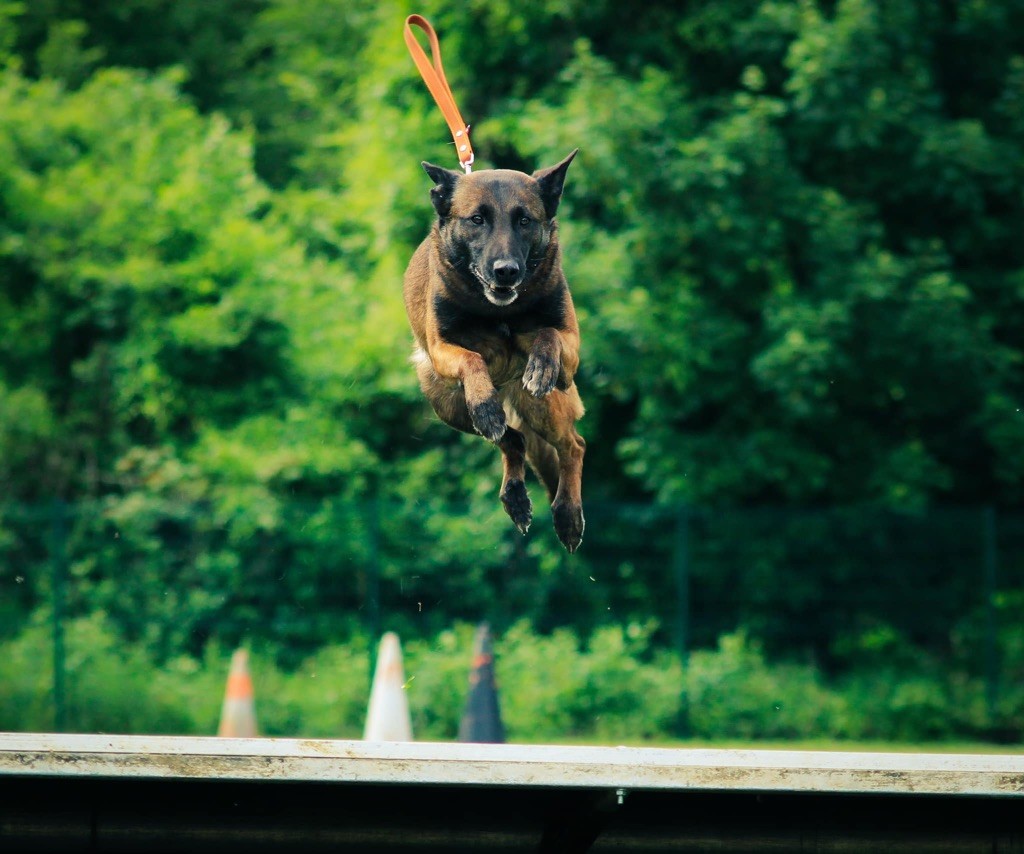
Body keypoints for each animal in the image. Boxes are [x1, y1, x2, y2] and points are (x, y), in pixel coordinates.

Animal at [403, 151, 589, 552]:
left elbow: (547, 333)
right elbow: (471, 358)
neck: (496, 310)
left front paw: (540, 365)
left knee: (573, 446)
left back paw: (567, 514)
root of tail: (506, 387)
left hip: (543, 406)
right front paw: (485, 405)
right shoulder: (442, 348)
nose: (506, 271)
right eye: (477, 220)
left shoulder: (570, 349)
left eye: (524, 220)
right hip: (448, 406)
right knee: (512, 438)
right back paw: (515, 493)